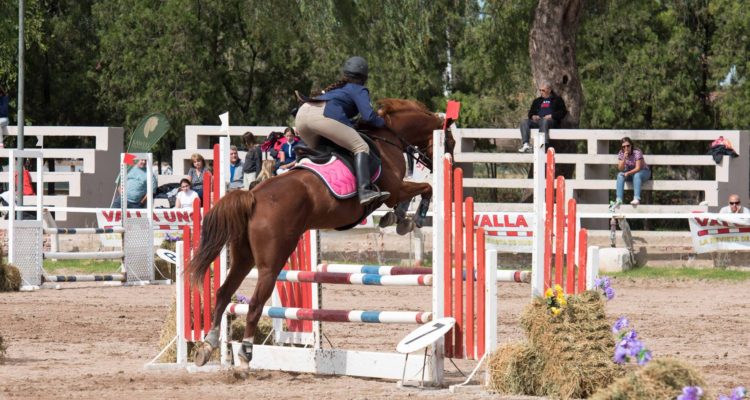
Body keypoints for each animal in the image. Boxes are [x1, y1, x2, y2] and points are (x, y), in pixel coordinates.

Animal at [188, 98, 454, 367]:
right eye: (451, 141)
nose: (451, 166)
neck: (387, 137)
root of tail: (253, 196)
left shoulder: (396, 190)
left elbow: (408, 199)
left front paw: (398, 219)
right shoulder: (395, 188)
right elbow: (426, 188)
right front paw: (415, 218)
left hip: (244, 256)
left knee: (223, 293)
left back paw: (208, 346)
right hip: (271, 263)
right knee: (254, 304)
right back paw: (245, 352)